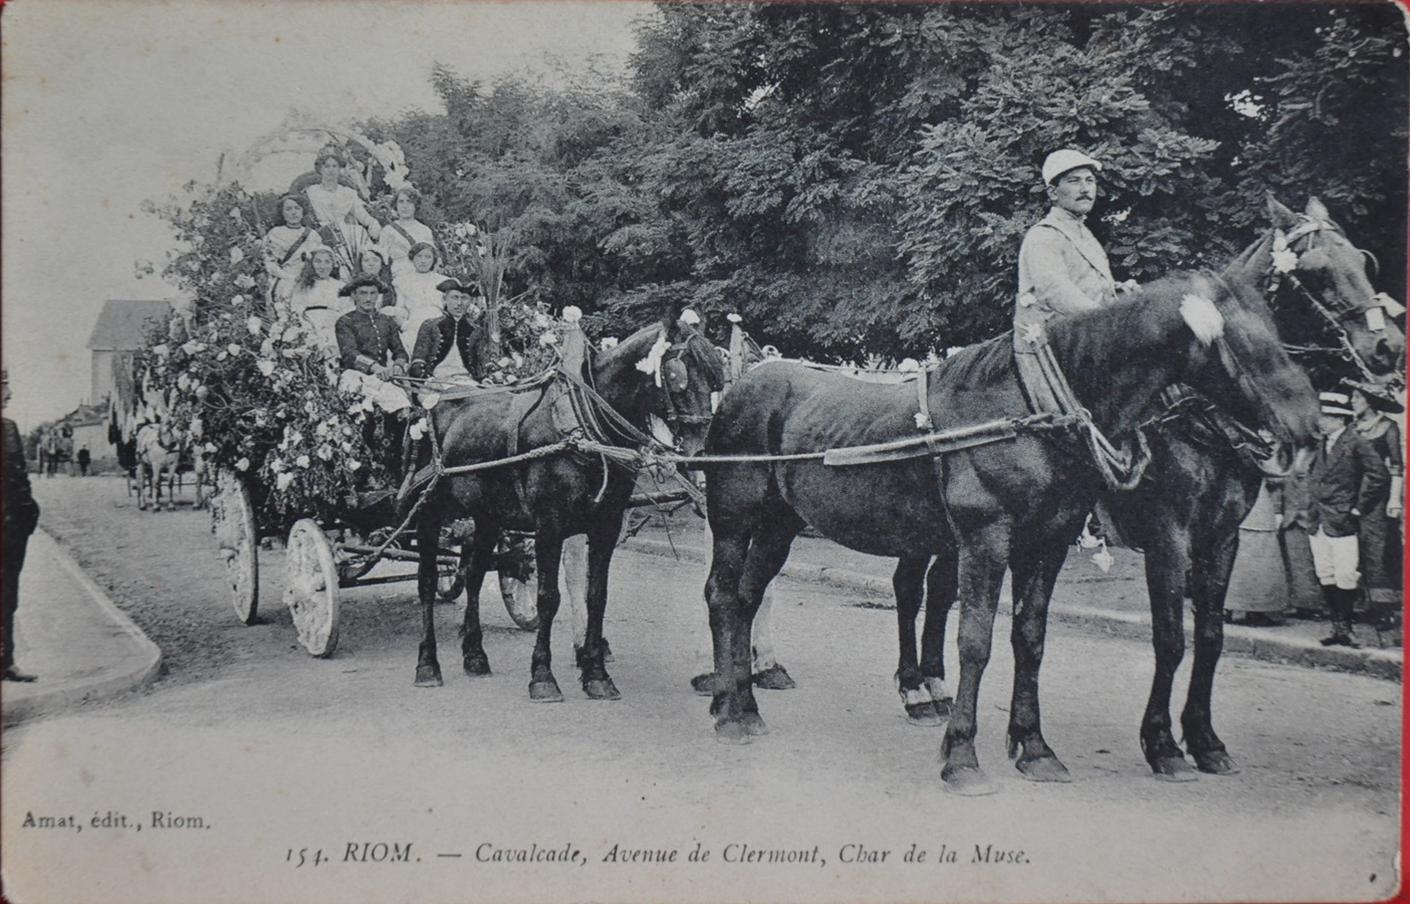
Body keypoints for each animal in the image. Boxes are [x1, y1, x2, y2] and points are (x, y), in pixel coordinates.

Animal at [411, 304, 727, 699]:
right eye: (677, 375)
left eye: (715, 381)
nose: (702, 454)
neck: (584, 426)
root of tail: (436, 400)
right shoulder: (550, 527)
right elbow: (549, 597)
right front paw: (543, 676)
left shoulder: (606, 526)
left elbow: (596, 596)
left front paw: (596, 674)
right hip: (429, 512)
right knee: (426, 580)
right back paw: (427, 663)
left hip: (488, 516)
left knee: (473, 574)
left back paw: (474, 655)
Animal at [705, 262, 1319, 789]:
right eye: (1244, 342)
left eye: (1279, 330)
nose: (1311, 426)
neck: (1033, 412)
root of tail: (741, 384)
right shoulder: (995, 539)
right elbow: (977, 640)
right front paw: (962, 755)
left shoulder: (1051, 543)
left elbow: (1031, 638)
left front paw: (1034, 747)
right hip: (734, 519)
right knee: (723, 596)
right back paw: (733, 708)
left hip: (781, 525)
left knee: (750, 596)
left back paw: (741, 698)